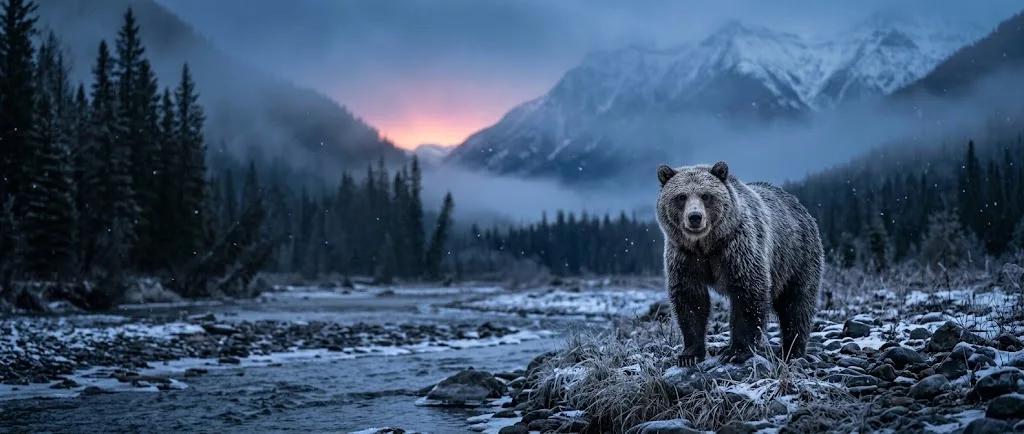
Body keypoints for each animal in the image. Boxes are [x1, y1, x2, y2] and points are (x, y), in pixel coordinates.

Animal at [655, 161, 823, 366]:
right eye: (681, 196)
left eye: (706, 195)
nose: (695, 217)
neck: (707, 245)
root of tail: (799, 205)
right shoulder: (684, 256)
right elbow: (690, 298)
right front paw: (689, 354)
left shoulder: (738, 248)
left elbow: (748, 292)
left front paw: (736, 351)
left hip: (796, 257)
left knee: (797, 303)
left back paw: (791, 350)